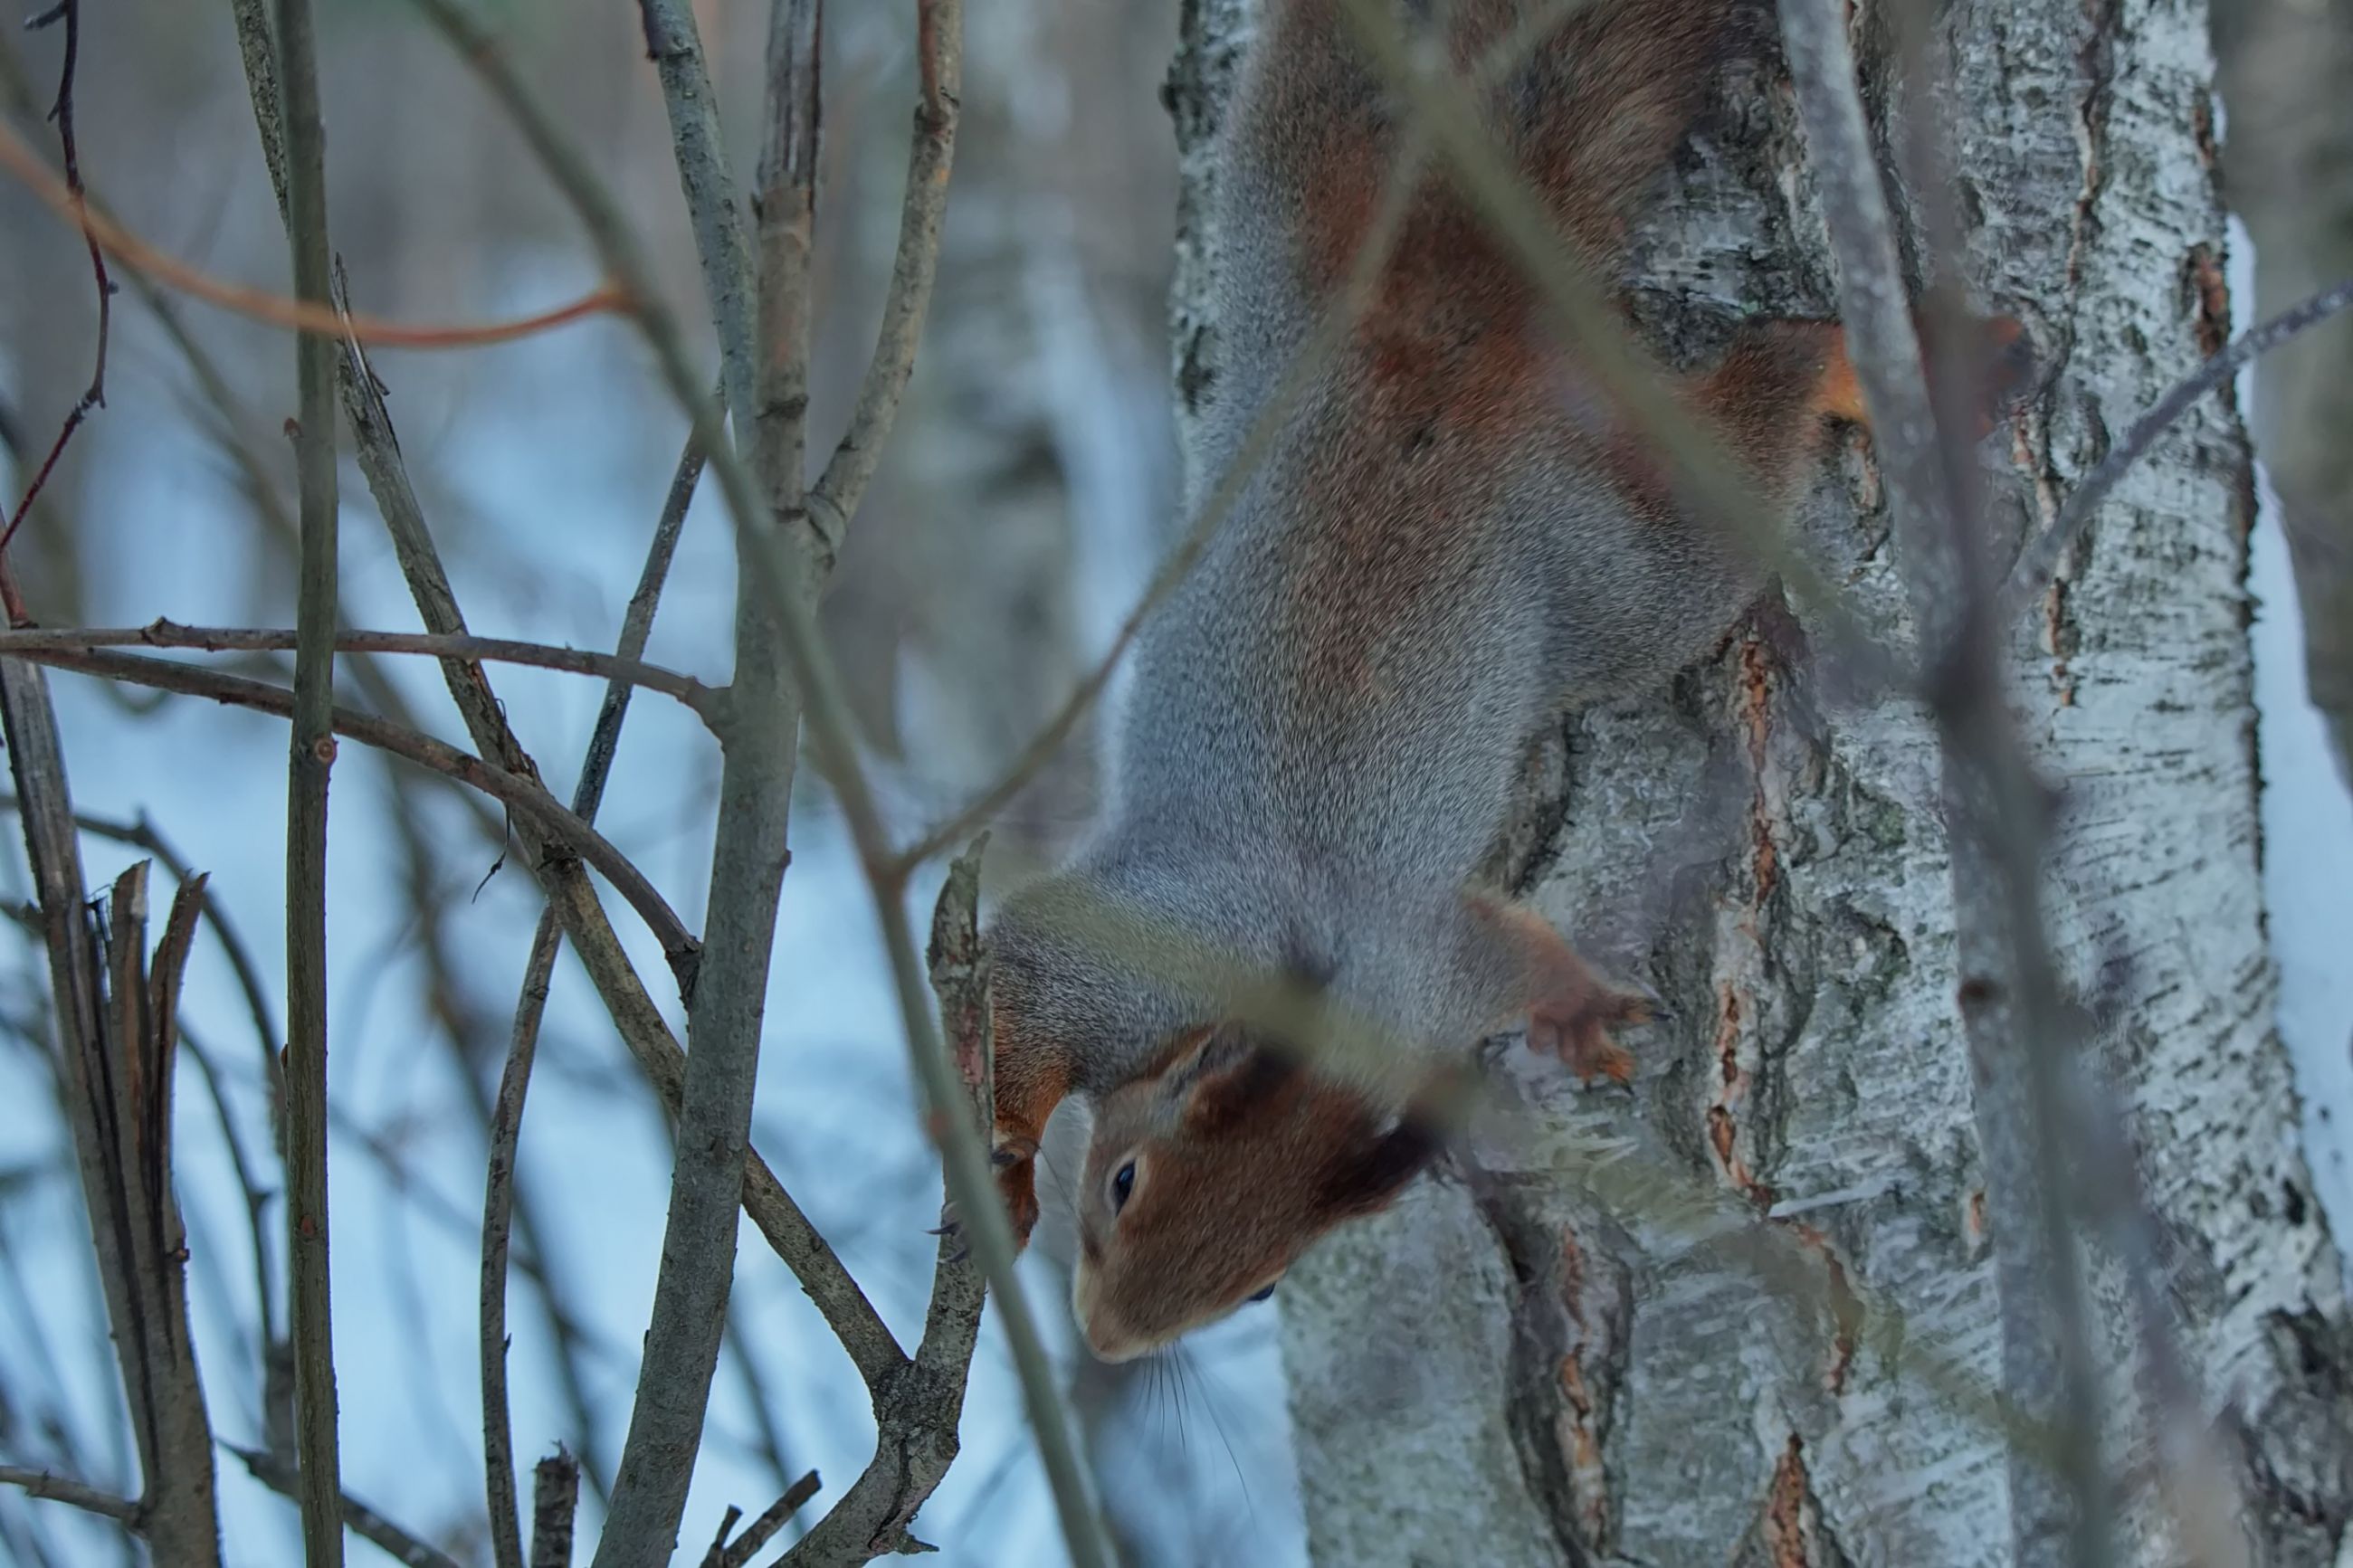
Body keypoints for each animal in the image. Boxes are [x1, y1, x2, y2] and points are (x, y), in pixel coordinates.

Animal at [974, 0, 2024, 1363]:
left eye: (1260, 1285)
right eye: (1120, 1182)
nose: (1104, 1343)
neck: (1316, 1001)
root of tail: (1445, 319)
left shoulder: (1434, 969)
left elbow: (1516, 946)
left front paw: (1575, 1008)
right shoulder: (1156, 945)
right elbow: (1024, 972)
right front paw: (996, 1151)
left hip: (1604, 572)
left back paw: (1838, 367)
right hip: (1306, 252)